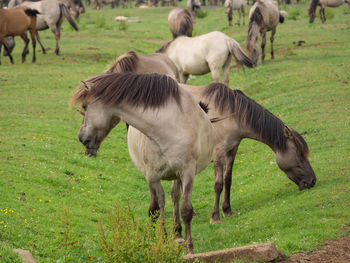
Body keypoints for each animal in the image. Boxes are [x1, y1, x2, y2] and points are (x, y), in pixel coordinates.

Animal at [70, 72, 213, 254]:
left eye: (85, 106)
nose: (81, 138)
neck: (169, 128)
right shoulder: (151, 176)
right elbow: (154, 210)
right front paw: (152, 243)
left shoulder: (187, 173)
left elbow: (186, 210)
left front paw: (189, 248)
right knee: (164, 199)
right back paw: (165, 236)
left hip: (177, 175)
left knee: (175, 197)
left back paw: (178, 235)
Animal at [180, 83, 318, 224]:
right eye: (300, 155)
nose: (312, 181)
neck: (229, 114)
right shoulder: (219, 151)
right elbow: (218, 184)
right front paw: (215, 216)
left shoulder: (232, 150)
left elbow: (227, 180)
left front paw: (227, 210)